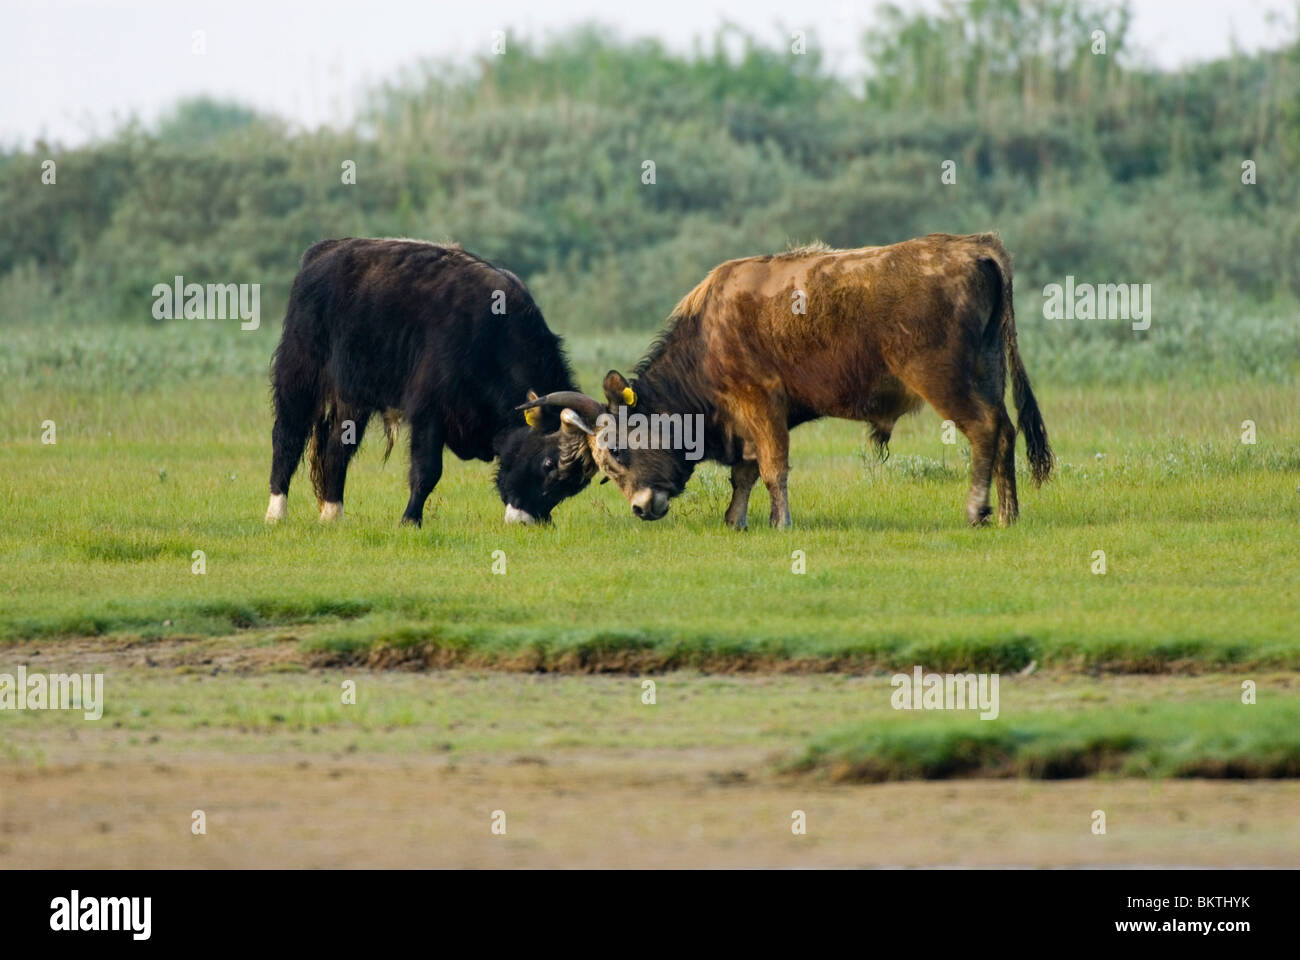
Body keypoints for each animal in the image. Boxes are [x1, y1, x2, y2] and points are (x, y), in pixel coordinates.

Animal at [514, 234, 1045, 528]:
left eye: (620, 452)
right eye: (604, 470)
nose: (642, 509)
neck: (707, 337)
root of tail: (974, 246)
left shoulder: (762, 403)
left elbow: (773, 469)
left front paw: (780, 521)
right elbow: (744, 474)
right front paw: (735, 519)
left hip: (943, 380)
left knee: (984, 430)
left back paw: (977, 510)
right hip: (988, 370)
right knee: (1006, 430)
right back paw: (1009, 514)